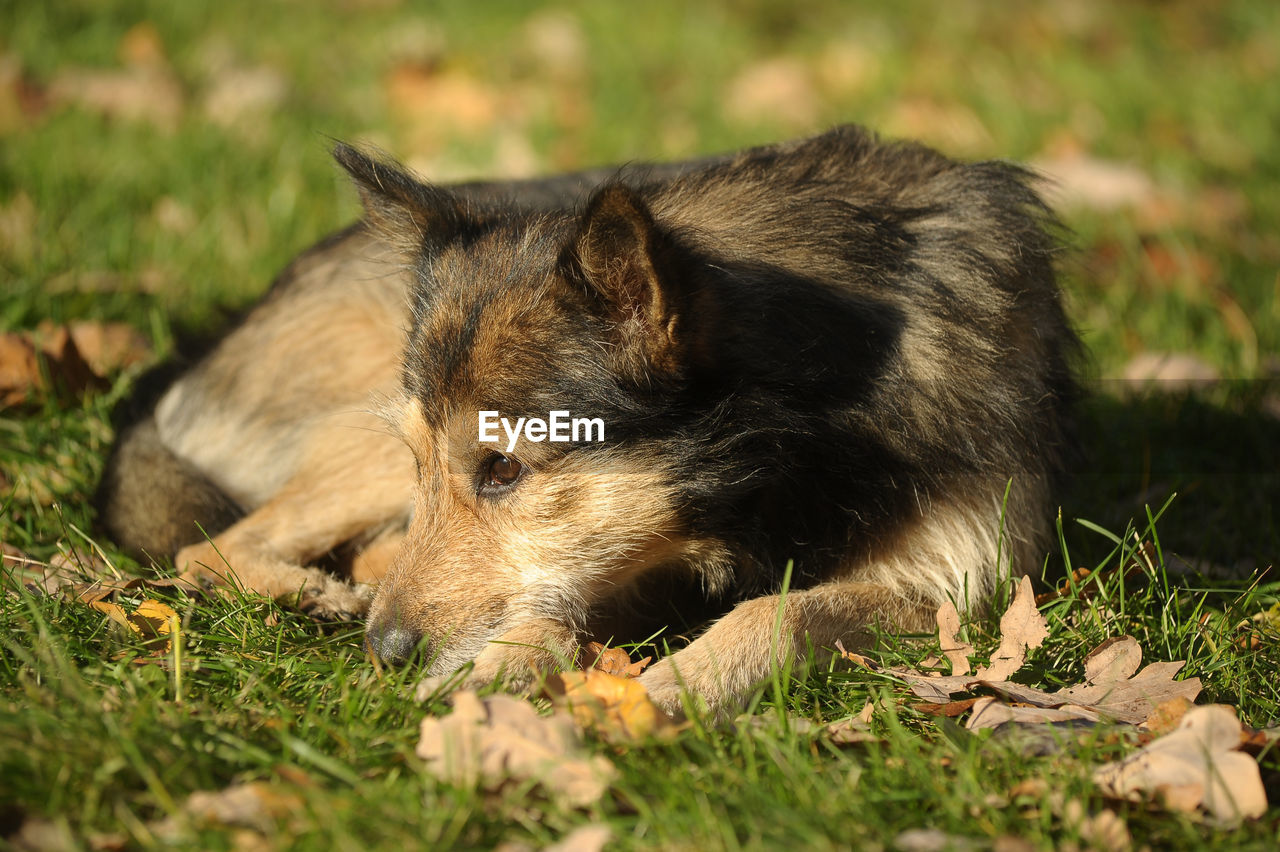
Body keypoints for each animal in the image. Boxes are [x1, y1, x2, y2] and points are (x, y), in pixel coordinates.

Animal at [102, 126, 1080, 716]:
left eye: (502, 468)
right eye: (434, 462)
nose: (386, 653)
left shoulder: (961, 585)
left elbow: (779, 615)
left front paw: (668, 689)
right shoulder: (607, 550)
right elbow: (550, 601)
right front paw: (501, 671)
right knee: (209, 547)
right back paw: (323, 593)